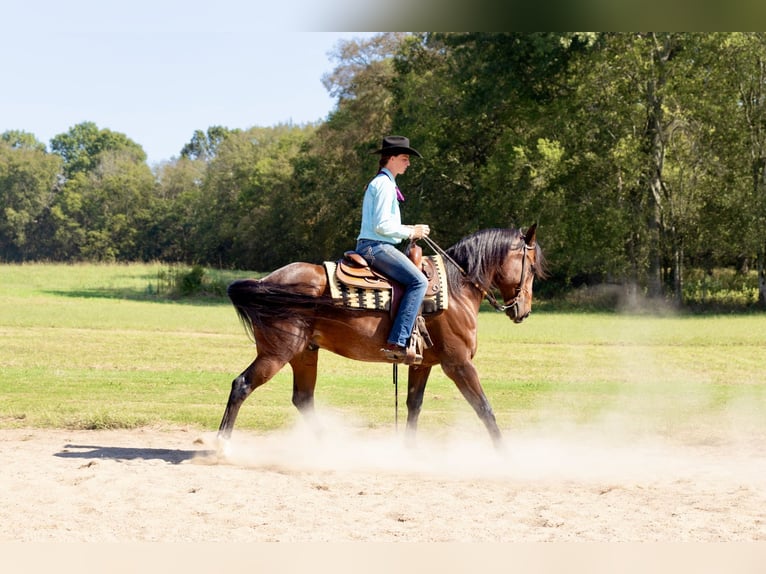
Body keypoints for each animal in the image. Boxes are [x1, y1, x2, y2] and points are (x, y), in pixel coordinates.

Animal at [219, 225, 548, 450]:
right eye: (531, 267)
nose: (524, 311)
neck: (456, 290)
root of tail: (265, 281)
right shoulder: (459, 364)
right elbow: (484, 408)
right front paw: (505, 454)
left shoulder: (422, 364)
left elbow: (414, 405)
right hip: (276, 354)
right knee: (242, 385)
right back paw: (222, 444)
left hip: (304, 354)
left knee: (303, 399)